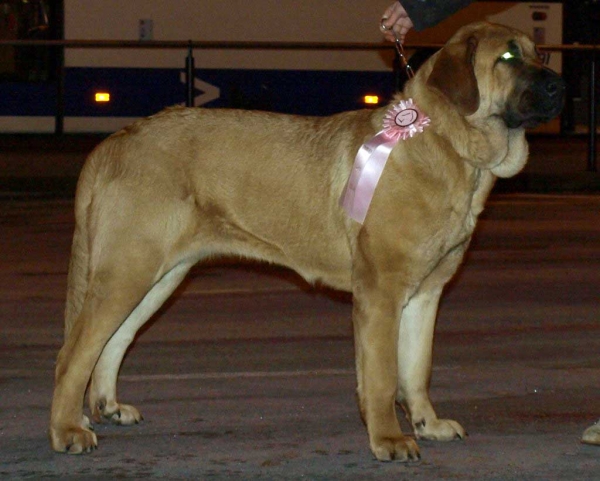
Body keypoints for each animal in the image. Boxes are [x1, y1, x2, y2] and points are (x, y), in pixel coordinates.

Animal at [49, 23, 564, 462]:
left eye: (539, 53)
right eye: (508, 57)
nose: (559, 85)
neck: (442, 140)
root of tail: (117, 139)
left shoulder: (424, 296)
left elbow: (416, 369)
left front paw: (427, 424)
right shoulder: (381, 292)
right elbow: (382, 376)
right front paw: (389, 439)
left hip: (158, 276)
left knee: (112, 341)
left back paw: (107, 408)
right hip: (127, 270)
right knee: (73, 353)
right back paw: (67, 430)